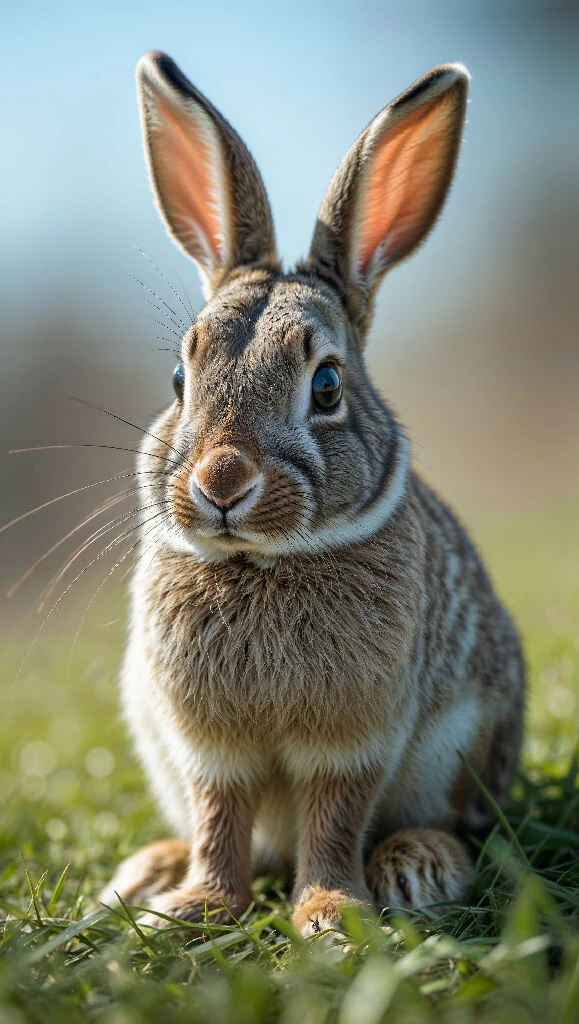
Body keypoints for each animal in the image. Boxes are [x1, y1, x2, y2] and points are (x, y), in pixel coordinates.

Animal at [100, 52, 525, 935]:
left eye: (325, 386)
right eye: (179, 380)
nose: (222, 482)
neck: (258, 563)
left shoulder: (354, 739)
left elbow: (333, 814)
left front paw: (332, 914)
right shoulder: (205, 748)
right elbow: (219, 817)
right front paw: (195, 908)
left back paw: (415, 867)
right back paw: (147, 873)